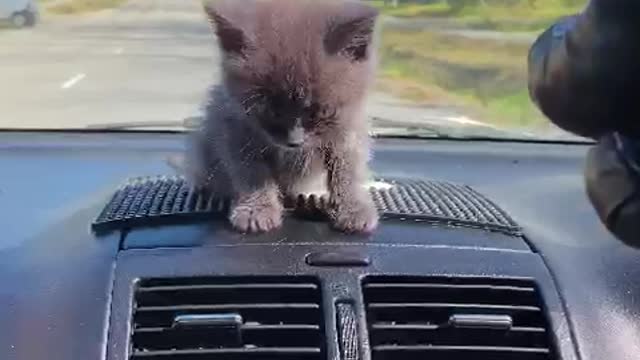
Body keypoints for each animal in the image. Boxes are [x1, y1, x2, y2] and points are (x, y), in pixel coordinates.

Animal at [189, 0, 380, 233]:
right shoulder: (234, 127)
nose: (294, 142)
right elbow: (251, 170)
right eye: (270, 110)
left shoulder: (349, 129)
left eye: (321, 111)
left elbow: (348, 168)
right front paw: (256, 210)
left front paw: (354, 208)